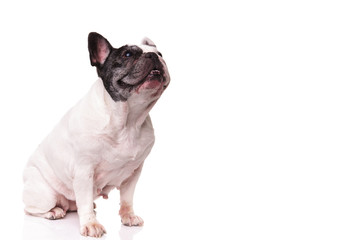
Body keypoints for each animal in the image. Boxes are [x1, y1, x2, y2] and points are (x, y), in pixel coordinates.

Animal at [22, 32, 170, 238]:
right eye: (128, 54)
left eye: (161, 54)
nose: (154, 56)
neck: (128, 120)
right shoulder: (84, 171)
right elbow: (84, 200)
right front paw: (91, 224)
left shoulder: (134, 172)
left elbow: (127, 197)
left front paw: (128, 216)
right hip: (45, 194)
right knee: (32, 209)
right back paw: (54, 211)